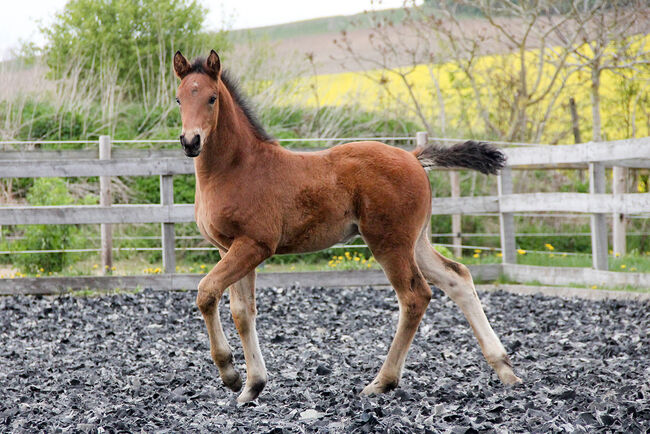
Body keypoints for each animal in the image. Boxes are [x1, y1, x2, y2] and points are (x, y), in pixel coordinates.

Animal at [173, 49, 520, 402]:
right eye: (179, 99)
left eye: (212, 98)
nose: (190, 141)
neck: (236, 168)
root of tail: (413, 157)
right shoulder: (229, 248)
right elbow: (243, 312)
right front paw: (251, 386)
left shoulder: (254, 245)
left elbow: (206, 292)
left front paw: (230, 373)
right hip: (416, 242)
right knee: (457, 277)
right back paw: (505, 368)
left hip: (389, 243)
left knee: (415, 296)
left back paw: (382, 381)